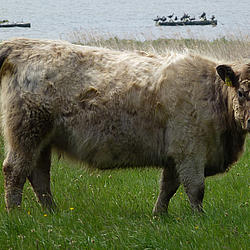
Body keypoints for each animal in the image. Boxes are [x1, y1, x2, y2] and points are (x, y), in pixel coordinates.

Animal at [0, 38, 250, 214]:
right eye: (241, 92)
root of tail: (21, 45)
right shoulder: (190, 150)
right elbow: (195, 189)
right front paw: (198, 218)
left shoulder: (175, 154)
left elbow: (168, 187)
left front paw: (159, 215)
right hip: (26, 131)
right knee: (15, 170)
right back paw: (16, 214)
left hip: (43, 139)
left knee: (39, 175)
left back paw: (51, 212)